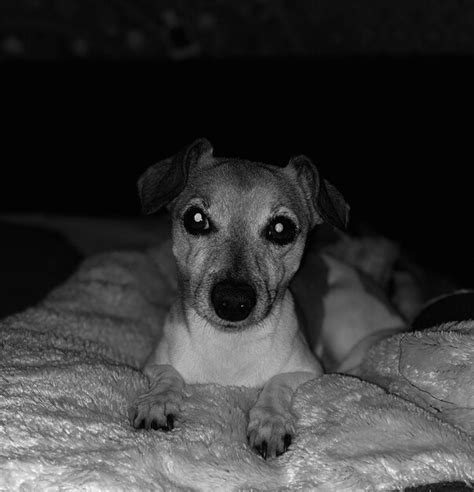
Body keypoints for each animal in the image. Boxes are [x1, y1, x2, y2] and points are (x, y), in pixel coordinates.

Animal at [131, 137, 414, 458]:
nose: (232, 302)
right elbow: (168, 374)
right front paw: (158, 400)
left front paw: (270, 420)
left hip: (342, 313)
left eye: (281, 228)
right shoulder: (153, 362)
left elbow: (277, 383)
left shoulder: (310, 370)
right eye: (196, 219)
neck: (230, 345)